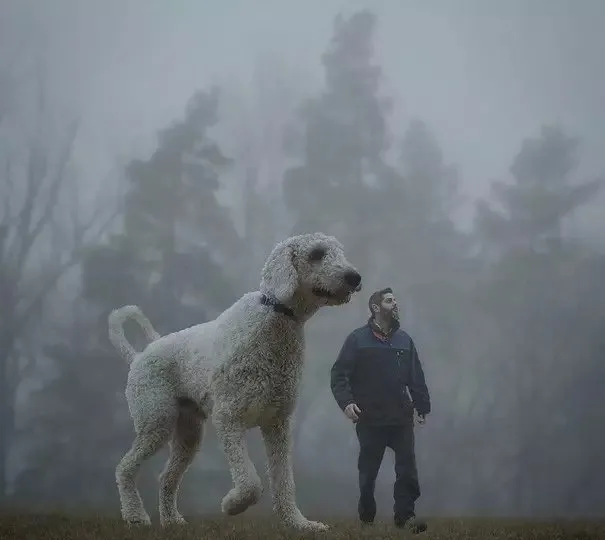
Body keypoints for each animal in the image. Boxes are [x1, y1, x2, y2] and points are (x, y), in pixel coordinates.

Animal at [108, 232, 360, 532]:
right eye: (317, 254)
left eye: (339, 251)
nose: (355, 277)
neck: (275, 319)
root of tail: (137, 356)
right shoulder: (229, 418)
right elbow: (250, 482)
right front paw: (232, 505)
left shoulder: (278, 425)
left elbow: (284, 481)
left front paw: (299, 523)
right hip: (156, 420)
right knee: (124, 468)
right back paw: (136, 516)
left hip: (188, 433)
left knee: (166, 478)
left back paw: (171, 520)